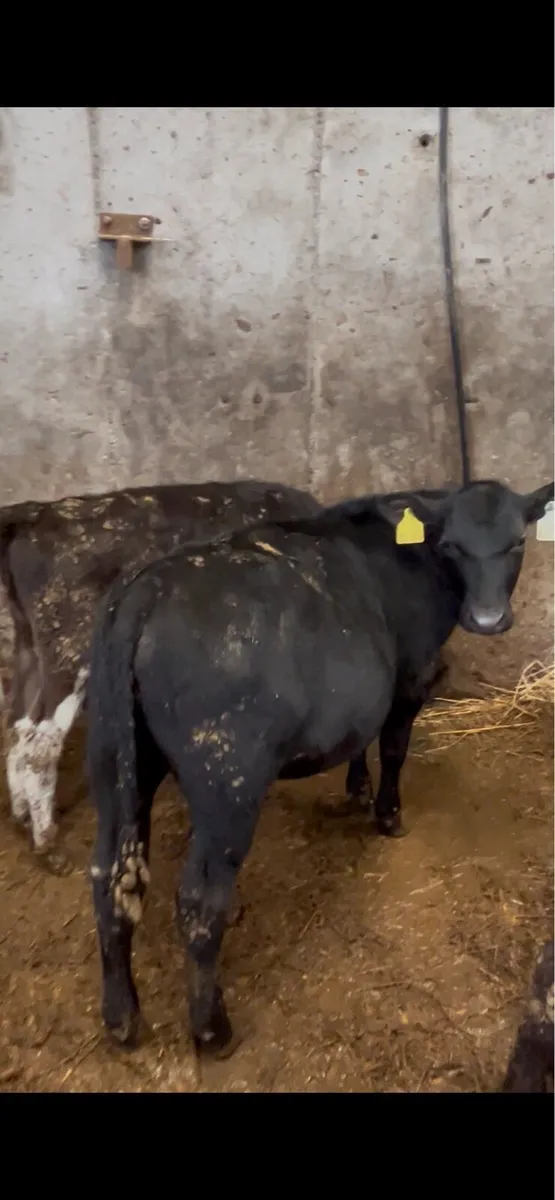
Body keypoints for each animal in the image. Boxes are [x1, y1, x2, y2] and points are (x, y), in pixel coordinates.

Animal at [0, 477, 452, 875]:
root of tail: (38, 513)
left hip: (29, 649)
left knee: (18, 728)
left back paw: (23, 817)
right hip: (69, 650)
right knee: (40, 742)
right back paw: (48, 844)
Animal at [85, 477, 553, 1055]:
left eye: (517, 542)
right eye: (451, 546)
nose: (487, 618)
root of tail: (148, 590)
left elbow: (361, 740)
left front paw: (356, 787)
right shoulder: (410, 677)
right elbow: (393, 746)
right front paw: (388, 815)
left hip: (114, 761)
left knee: (110, 879)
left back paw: (121, 1016)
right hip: (227, 780)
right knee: (198, 900)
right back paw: (212, 1029)